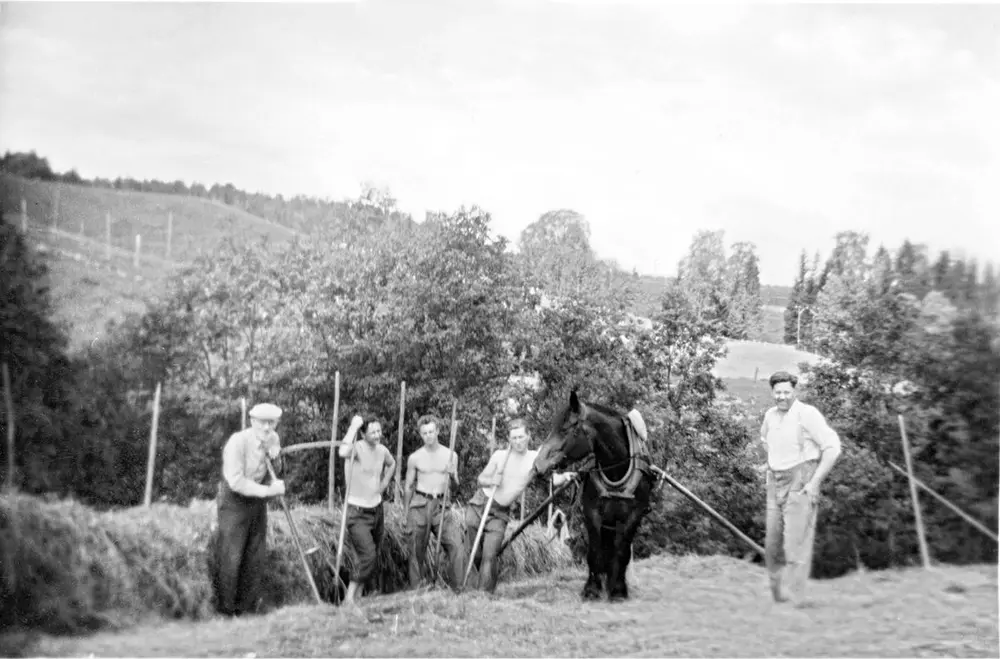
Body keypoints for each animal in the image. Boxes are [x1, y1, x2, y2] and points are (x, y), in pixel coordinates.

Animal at [532, 392, 656, 604]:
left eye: (565, 430)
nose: (538, 465)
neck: (616, 469)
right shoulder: (593, 513)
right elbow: (594, 552)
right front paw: (591, 590)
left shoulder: (633, 516)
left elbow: (622, 552)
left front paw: (618, 590)